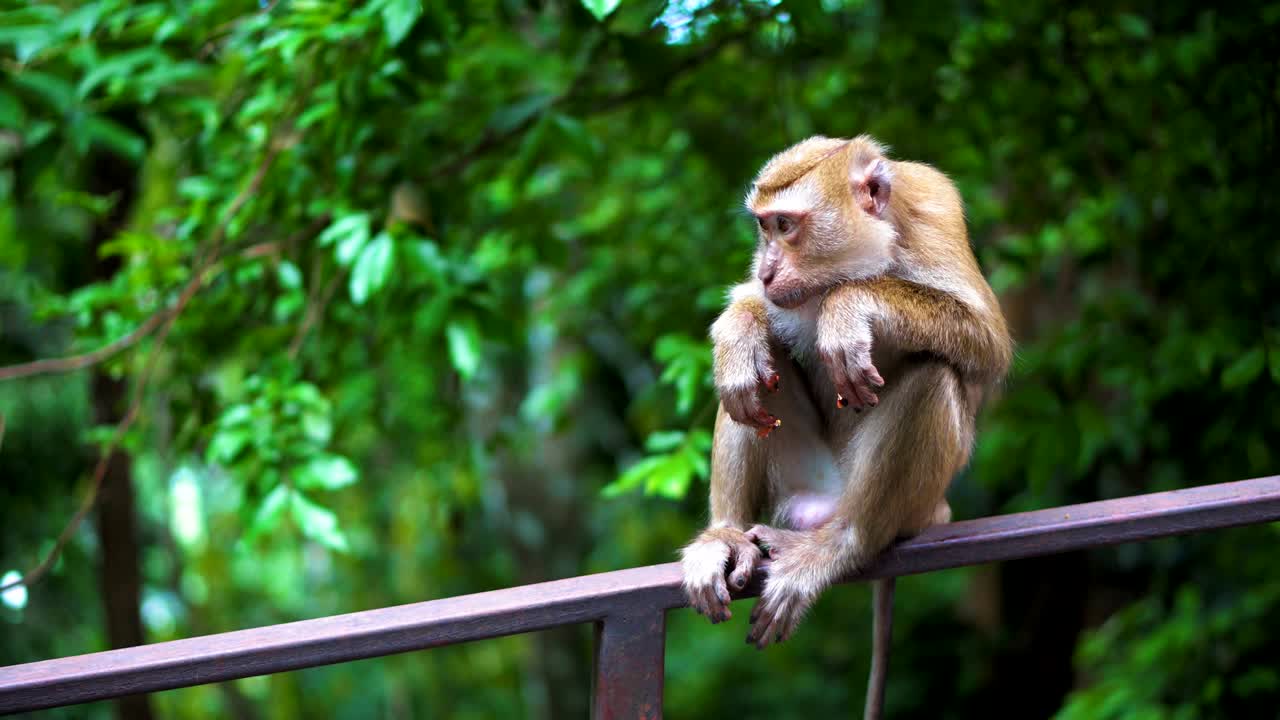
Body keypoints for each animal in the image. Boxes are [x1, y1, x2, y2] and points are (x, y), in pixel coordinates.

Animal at [680, 135, 1012, 719]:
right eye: (764, 228)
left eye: (786, 225)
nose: (766, 270)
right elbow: (755, 319)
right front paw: (740, 325)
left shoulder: (934, 210)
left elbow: (987, 341)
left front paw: (848, 305)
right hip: (803, 476)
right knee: (748, 384)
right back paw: (725, 534)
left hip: (912, 504)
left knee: (933, 371)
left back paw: (845, 544)